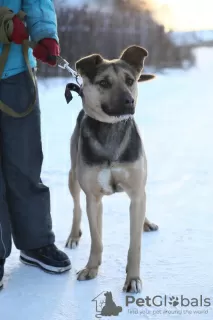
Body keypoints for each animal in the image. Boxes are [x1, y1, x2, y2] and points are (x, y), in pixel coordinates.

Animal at [66, 45, 158, 292]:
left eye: (130, 80)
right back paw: (73, 235)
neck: (111, 131)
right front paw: (91, 268)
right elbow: (96, 238)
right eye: (104, 83)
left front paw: (133, 278)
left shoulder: (136, 192)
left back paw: (146, 222)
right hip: (73, 176)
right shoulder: (93, 198)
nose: (128, 101)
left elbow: (135, 244)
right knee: (76, 206)